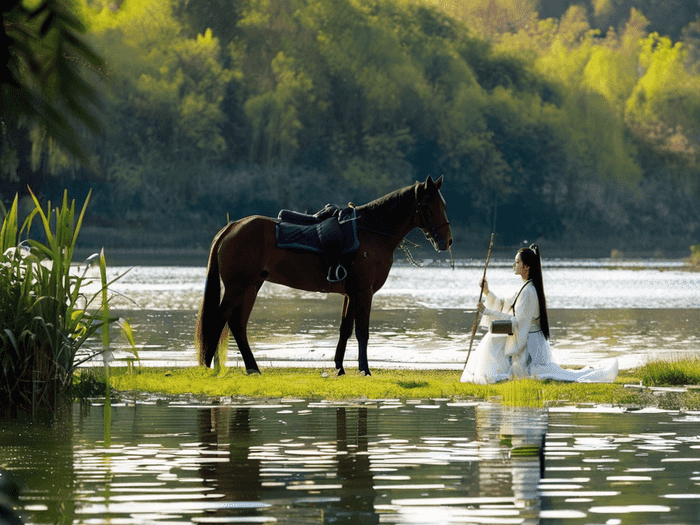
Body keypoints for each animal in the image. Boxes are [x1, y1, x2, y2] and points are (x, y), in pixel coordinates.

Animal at [196, 174, 454, 374]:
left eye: (444, 205)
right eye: (429, 206)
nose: (446, 241)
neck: (371, 231)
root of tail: (233, 226)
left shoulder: (351, 293)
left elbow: (345, 330)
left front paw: (340, 367)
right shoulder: (364, 292)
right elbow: (362, 332)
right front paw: (364, 369)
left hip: (251, 285)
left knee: (237, 324)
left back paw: (252, 368)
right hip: (239, 286)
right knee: (219, 320)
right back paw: (210, 366)